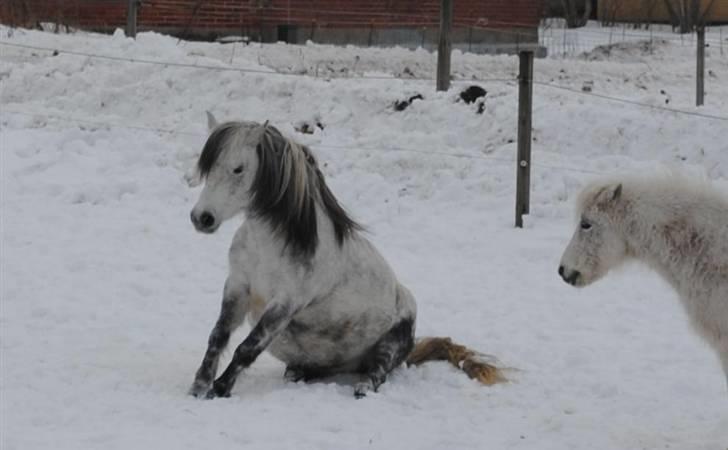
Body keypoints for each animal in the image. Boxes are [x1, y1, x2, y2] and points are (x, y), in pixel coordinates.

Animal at [188, 114, 506, 400]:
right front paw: (199, 387)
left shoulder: (284, 304)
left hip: (389, 345)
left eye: (238, 169)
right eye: (208, 167)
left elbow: (248, 347)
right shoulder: (237, 287)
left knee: (378, 373)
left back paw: (362, 387)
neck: (268, 246)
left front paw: (220, 388)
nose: (202, 218)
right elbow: (218, 336)